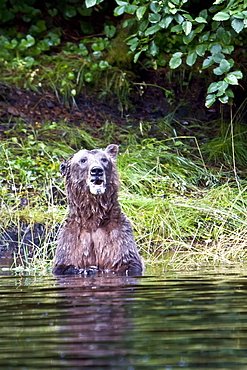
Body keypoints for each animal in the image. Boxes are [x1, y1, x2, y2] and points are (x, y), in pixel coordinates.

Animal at [53, 144, 144, 274]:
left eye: (104, 159)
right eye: (83, 160)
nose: (97, 170)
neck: (92, 218)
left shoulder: (118, 236)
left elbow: (128, 261)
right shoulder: (72, 240)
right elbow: (64, 265)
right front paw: (88, 269)